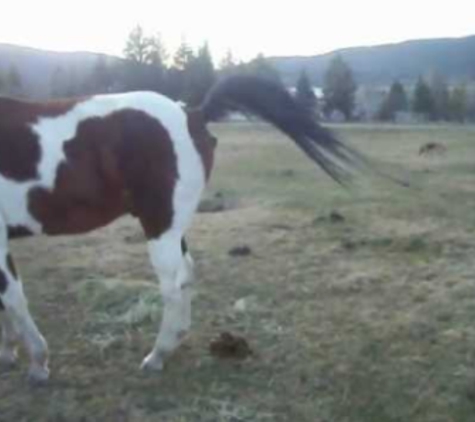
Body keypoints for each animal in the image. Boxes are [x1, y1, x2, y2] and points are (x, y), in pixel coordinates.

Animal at [0, 75, 358, 382]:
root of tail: (193, 114)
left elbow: (13, 298)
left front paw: (37, 363)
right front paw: (8, 355)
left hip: (160, 226)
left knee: (172, 288)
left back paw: (157, 356)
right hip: (172, 226)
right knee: (186, 274)